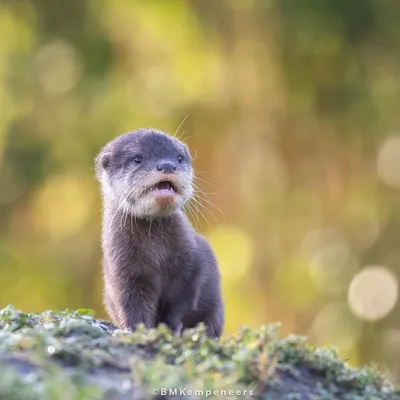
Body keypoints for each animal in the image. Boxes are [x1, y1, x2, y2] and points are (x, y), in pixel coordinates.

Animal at [94, 128, 225, 338]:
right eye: (138, 159)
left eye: (179, 158)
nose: (167, 165)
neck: (156, 253)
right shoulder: (123, 271)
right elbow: (131, 305)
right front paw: (138, 330)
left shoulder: (192, 266)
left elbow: (181, 303)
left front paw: (171, 328)